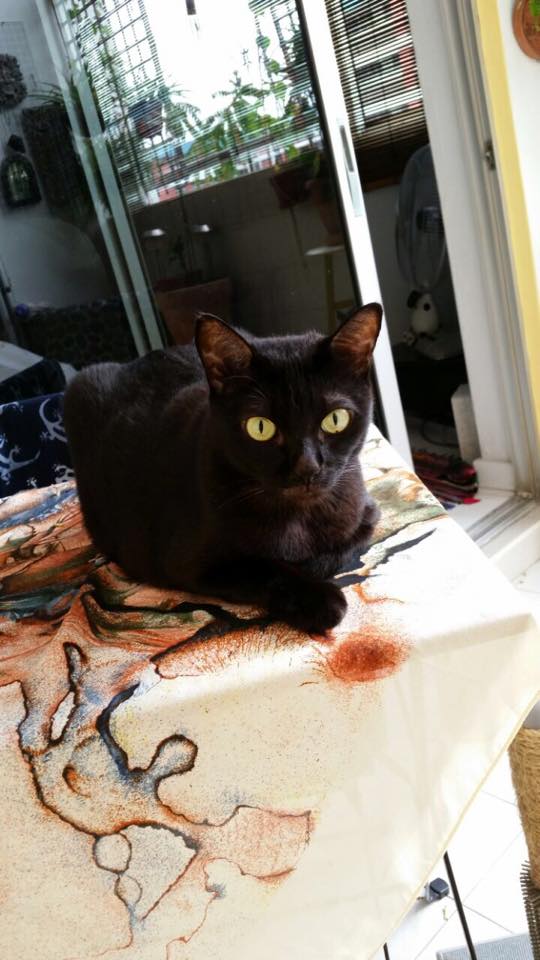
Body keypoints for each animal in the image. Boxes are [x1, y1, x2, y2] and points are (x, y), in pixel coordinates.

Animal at [63, 304, 382, 634]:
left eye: (335, 419)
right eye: (260, 427)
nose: (307, 467)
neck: (299, 518)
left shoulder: (368, 515)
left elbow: (336, 552)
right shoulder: (189, 563)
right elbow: (265, 569)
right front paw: (318, 600)